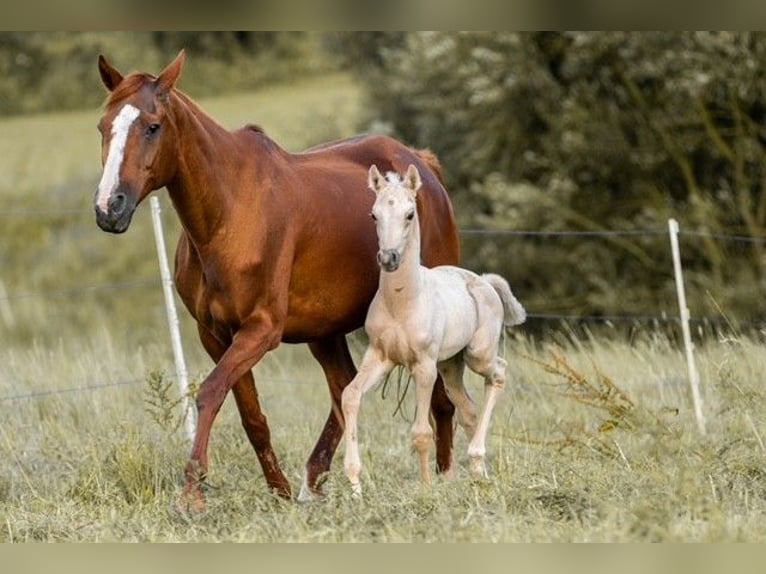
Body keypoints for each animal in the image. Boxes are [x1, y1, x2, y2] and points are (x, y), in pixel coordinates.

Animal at [92, 50, 460, 512]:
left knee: (442, 400)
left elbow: (209, 393)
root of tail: (423, 167)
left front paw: (192, 492)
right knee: (345, 391)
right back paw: (314, 482)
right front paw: (280, 492)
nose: (109, 208)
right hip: (325, 332)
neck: (229, 212)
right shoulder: (216, 335)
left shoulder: (261, 330)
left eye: (153, 126)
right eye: (103, 127)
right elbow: (251, 416)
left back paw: (445, 477)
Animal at [344, 163, 528, 496]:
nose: (388, 258)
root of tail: (484, 281)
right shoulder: (379, 356)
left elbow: (421, 432)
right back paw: (478, 472)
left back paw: (476, 457)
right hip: (450, 366)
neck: (402, 302)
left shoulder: (424, 366)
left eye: (409, 214)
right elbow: (350, 395)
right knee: (468, 408)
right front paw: (355, 486)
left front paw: (426, 488)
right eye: (374, 215)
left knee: (499, 372)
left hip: (476, 355)